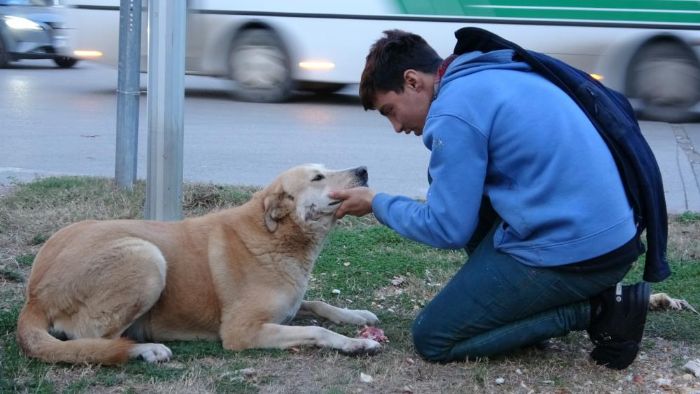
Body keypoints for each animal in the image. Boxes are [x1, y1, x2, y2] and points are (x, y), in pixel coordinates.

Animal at [16, 165, 380, 364]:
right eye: (318, 176)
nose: (364, 170)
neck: (277, 236)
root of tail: (34, 295)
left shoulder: (290, 306)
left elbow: (318, 304)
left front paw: (356, 316)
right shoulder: (241, 332)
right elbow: (317, 330)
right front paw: (356, 343)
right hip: (147, 258)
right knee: (93, 341)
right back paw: (147, 350)